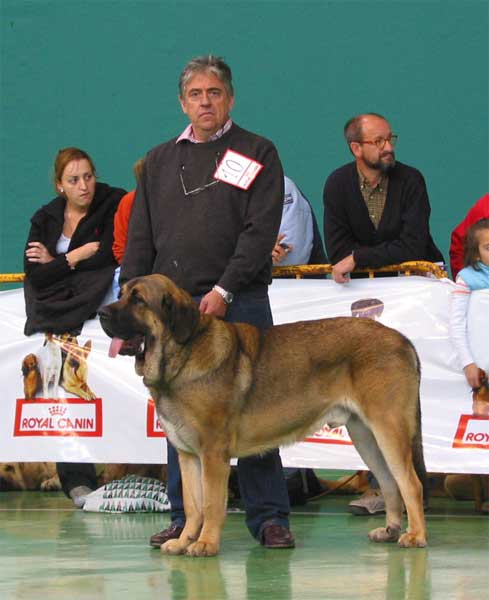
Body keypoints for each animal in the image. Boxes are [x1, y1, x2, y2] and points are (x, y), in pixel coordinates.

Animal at [97, 274, 426, 556]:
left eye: (138, 299)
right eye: (121, 294)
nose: (100, 312)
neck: (181, 354)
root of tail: (403, 340)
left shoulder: (213, 454)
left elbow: (211, 504)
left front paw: (205, 544)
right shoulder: (187, 455)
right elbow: (193, 505)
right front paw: (183, 540)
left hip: (388, 428)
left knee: (410, 483)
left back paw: (415, 536)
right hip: (366, 436)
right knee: (389, 481)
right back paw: (390, 530)